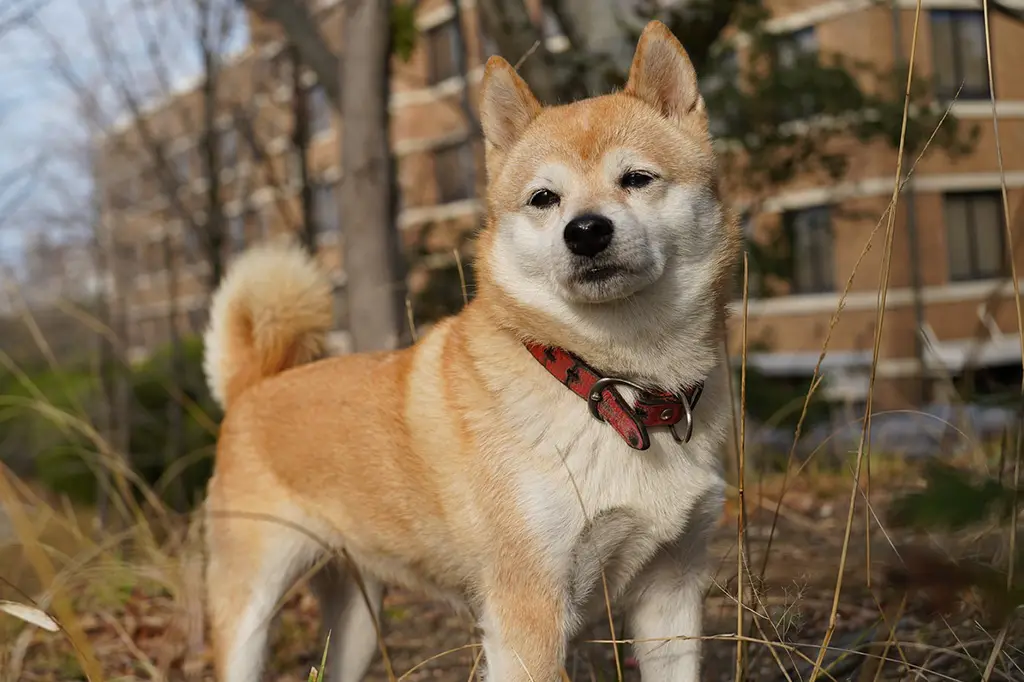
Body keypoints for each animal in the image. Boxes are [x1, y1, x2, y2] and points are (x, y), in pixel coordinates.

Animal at [201, 19, 737, 679]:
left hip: (357, 621)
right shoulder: (527, 610)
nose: (586, 232)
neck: (610, 387)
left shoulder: (672, 590)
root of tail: (251, 386)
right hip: (251, 611)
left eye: (636, 178)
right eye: (543, 198)